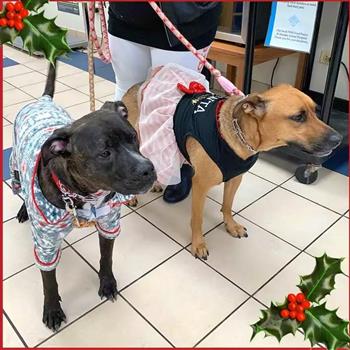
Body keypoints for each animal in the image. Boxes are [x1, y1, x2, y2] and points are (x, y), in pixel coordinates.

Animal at [13, 61, 156, 332]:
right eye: (104, 152)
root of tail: (43, 100)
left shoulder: (109, 224)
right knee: (20, 189)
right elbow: (49, 282)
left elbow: (106, 258)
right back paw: (24, 209)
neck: (84, 196)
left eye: (133, 137)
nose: (148, 169)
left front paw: (107, 283)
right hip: (15, 166)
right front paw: (52, 310)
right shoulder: (46, 246)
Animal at [122, 81, 340, 258]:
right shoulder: (200, 186)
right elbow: (197, 219)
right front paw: (198, 243)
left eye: (315, 111)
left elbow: (227, 205)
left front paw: (231, 225)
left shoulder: (235, 178)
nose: (338, 139)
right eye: (298, 117)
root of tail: (134, 86)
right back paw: (130, 197)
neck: (240, 133)